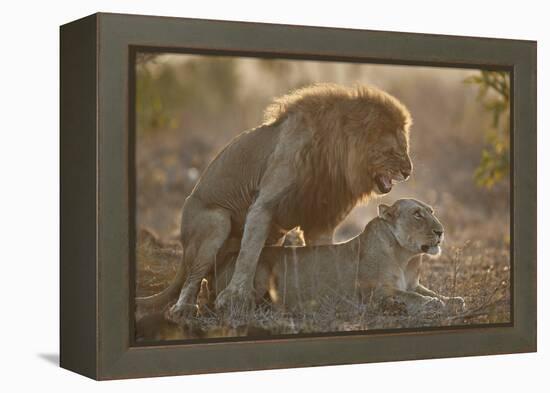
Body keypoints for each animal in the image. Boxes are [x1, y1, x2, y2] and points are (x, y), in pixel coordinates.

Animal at [137, 81, 414, 320]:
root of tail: (184, 250)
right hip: (216, 221)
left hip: (272, 236)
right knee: (193, 277)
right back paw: (184, 308)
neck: (334, 155)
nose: (408, 171)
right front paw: (234, 298)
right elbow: (249, 254)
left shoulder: (321, 220)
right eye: (394, 151)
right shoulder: (263, 204)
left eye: (406, 148)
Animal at [213, 198, 468, 314]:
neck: (406, 258)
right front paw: (433, 304)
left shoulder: (413, 283)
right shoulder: (375, 292)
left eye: (431, 211)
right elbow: (413, 297)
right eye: (417, 214)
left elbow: (432, 293)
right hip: (258, 270)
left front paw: (454, 300)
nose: (441, 231)